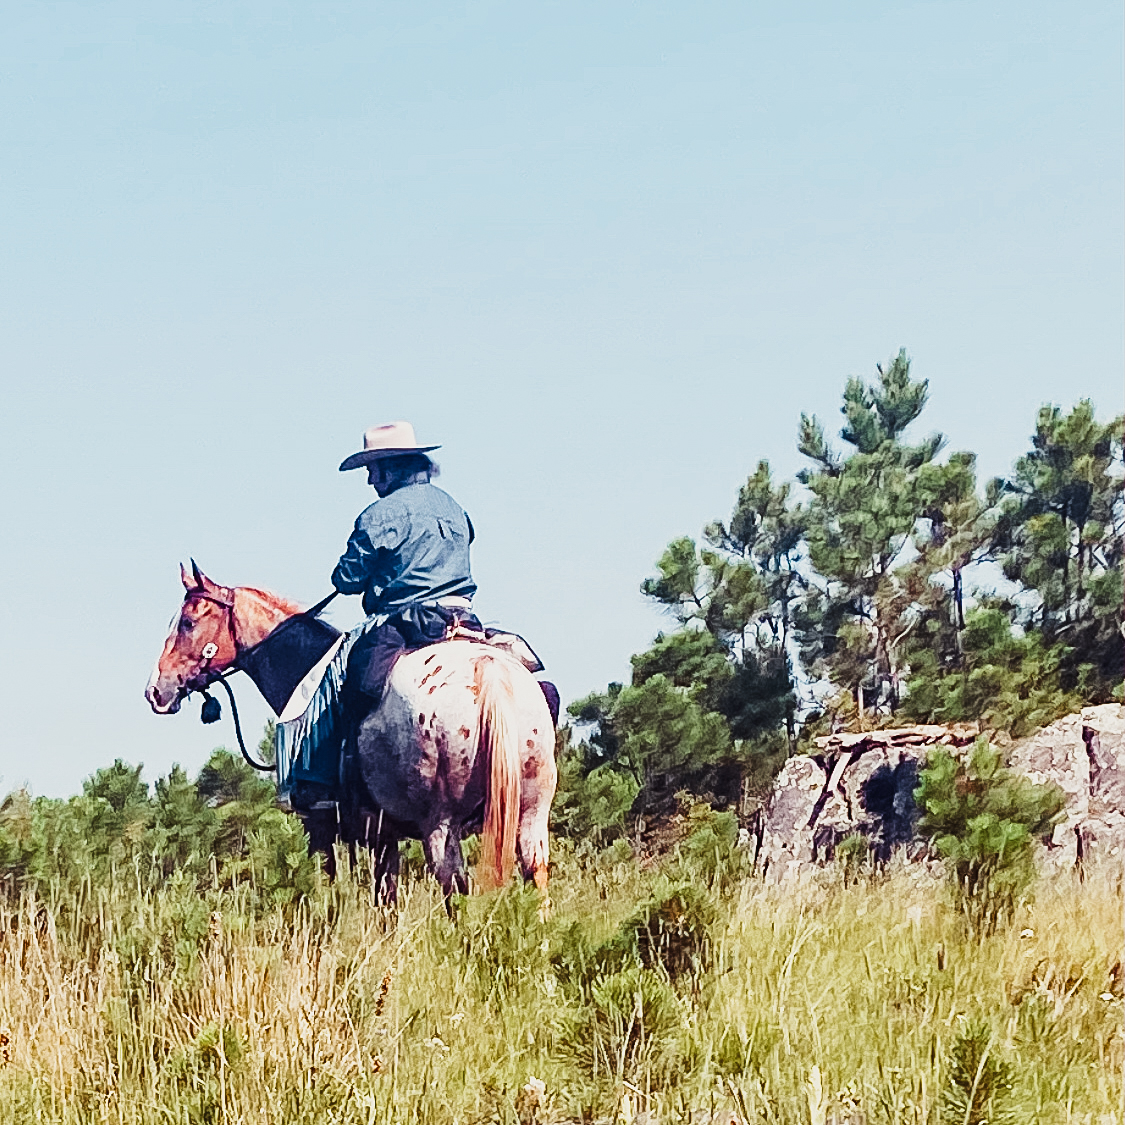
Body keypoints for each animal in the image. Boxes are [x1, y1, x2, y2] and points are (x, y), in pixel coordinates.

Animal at [145, 562, 558, 904]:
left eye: (187, 622)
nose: (155, 690)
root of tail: (488, 671)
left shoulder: (321, 828)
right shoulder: (384, 836)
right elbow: (386, 900)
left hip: (440, 826)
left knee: (455, 887)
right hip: (530, 816)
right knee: (534, 875)